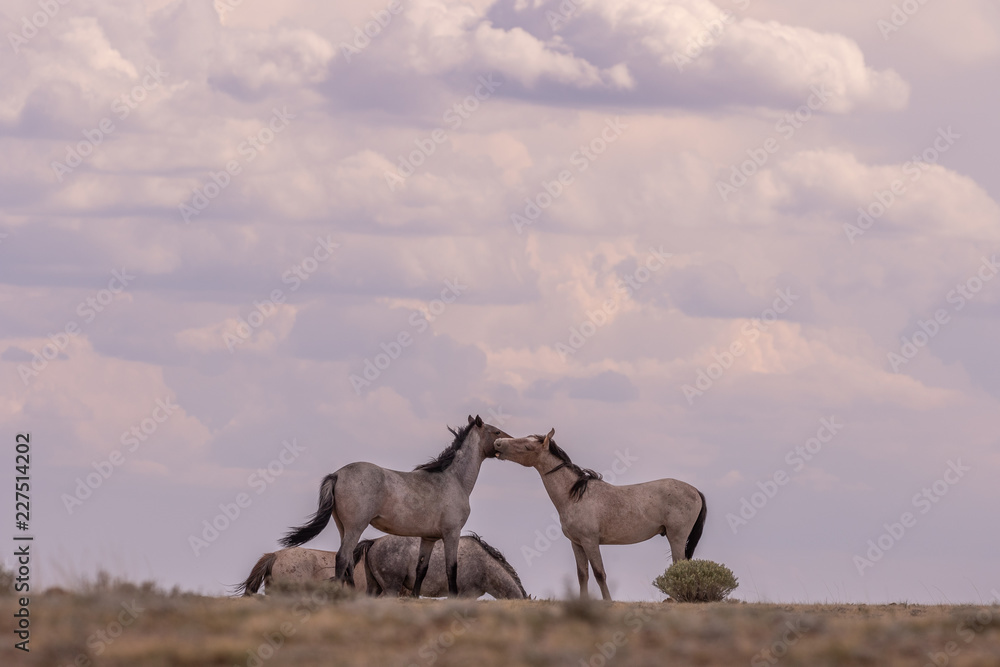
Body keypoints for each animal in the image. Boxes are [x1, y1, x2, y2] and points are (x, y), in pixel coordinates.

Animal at [280, 415, 510, 597]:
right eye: (496, 431)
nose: (508, 442)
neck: (453, 479)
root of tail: (337, 474)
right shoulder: (451, 534)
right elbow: (451, 569)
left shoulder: (428, 538)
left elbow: (421, 569)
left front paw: (415, 597)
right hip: (355, 527)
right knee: (342, 558)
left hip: (342, 528)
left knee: (348, 562)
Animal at [493, 429, 706, 601]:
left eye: (527, 446)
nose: (497, 443)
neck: (575, 496)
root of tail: (695, 490)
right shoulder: (577, 543)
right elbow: (583, 575)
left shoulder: (590, 541)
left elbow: (599, 573)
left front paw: (607, 601)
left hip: (676, 537)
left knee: (679, 566)